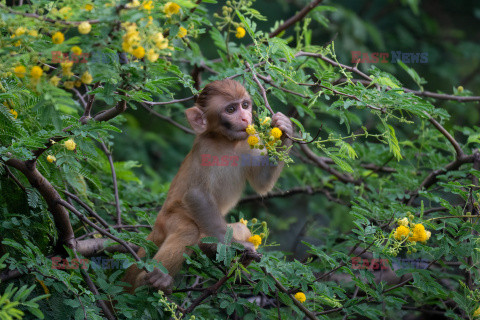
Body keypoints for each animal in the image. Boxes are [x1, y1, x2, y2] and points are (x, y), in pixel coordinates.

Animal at [122, 79, 294, 294]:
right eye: (230, 109)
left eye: (245, 105)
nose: (245, 118)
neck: (226, 141)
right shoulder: (205, 149)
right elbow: (196, 195)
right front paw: (235, 245)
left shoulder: (248, 139)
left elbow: (261, 183)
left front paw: (284, 127)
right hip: (168, 219)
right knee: (188, 231)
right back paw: (151, 279)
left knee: (238, 227)